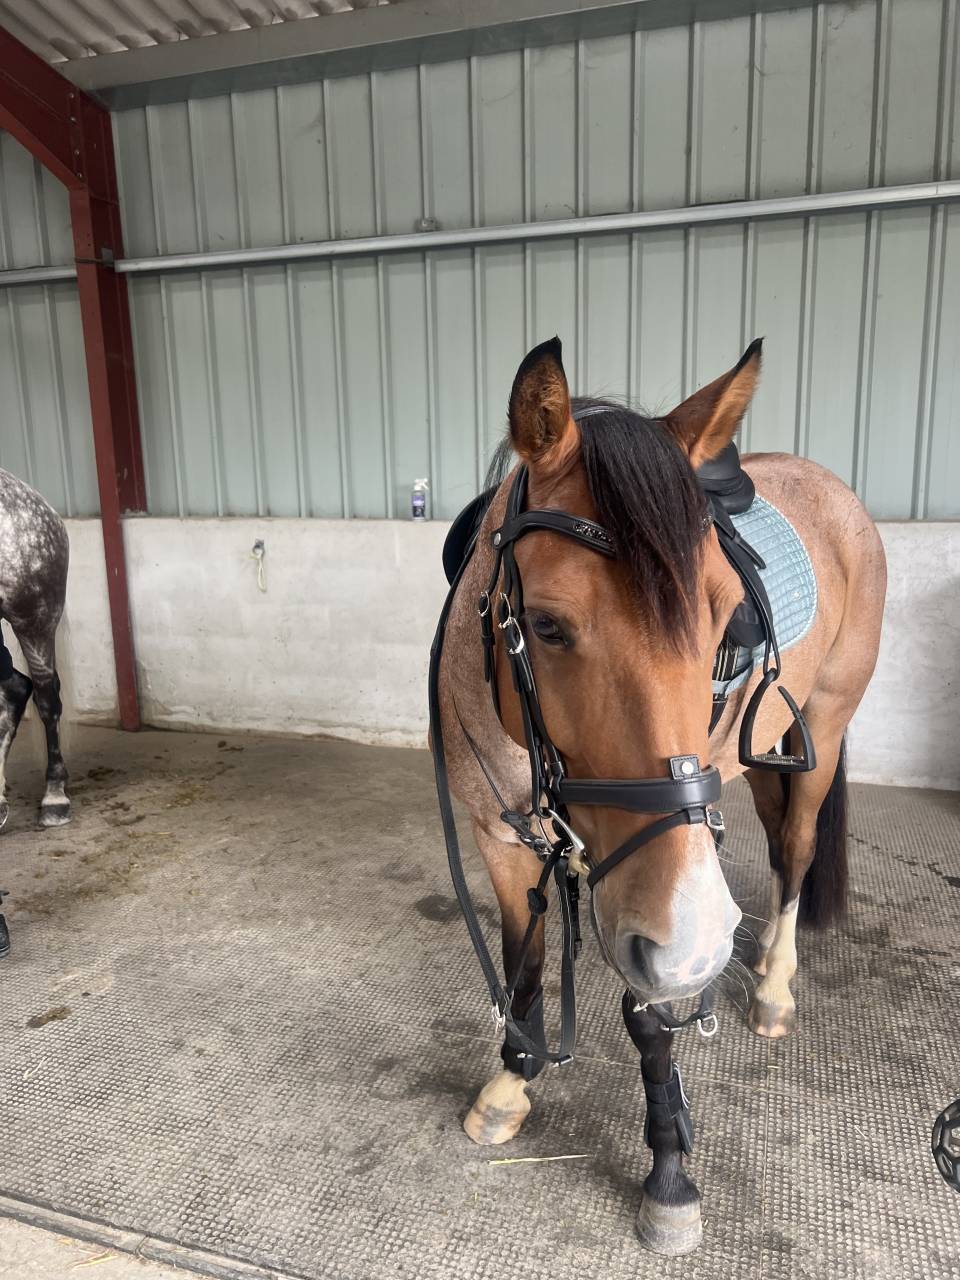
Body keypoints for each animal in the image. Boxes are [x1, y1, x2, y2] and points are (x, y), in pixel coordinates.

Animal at [432, 336, 886, 1254]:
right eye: (547, 625)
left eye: (724, 625)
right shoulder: (503, 837)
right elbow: (523, 966)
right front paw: (510, 1086)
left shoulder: (657, 883)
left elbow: (650, 1012)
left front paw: (670, 1175)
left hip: (820, 730)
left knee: (796, 849)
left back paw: (775, 987)